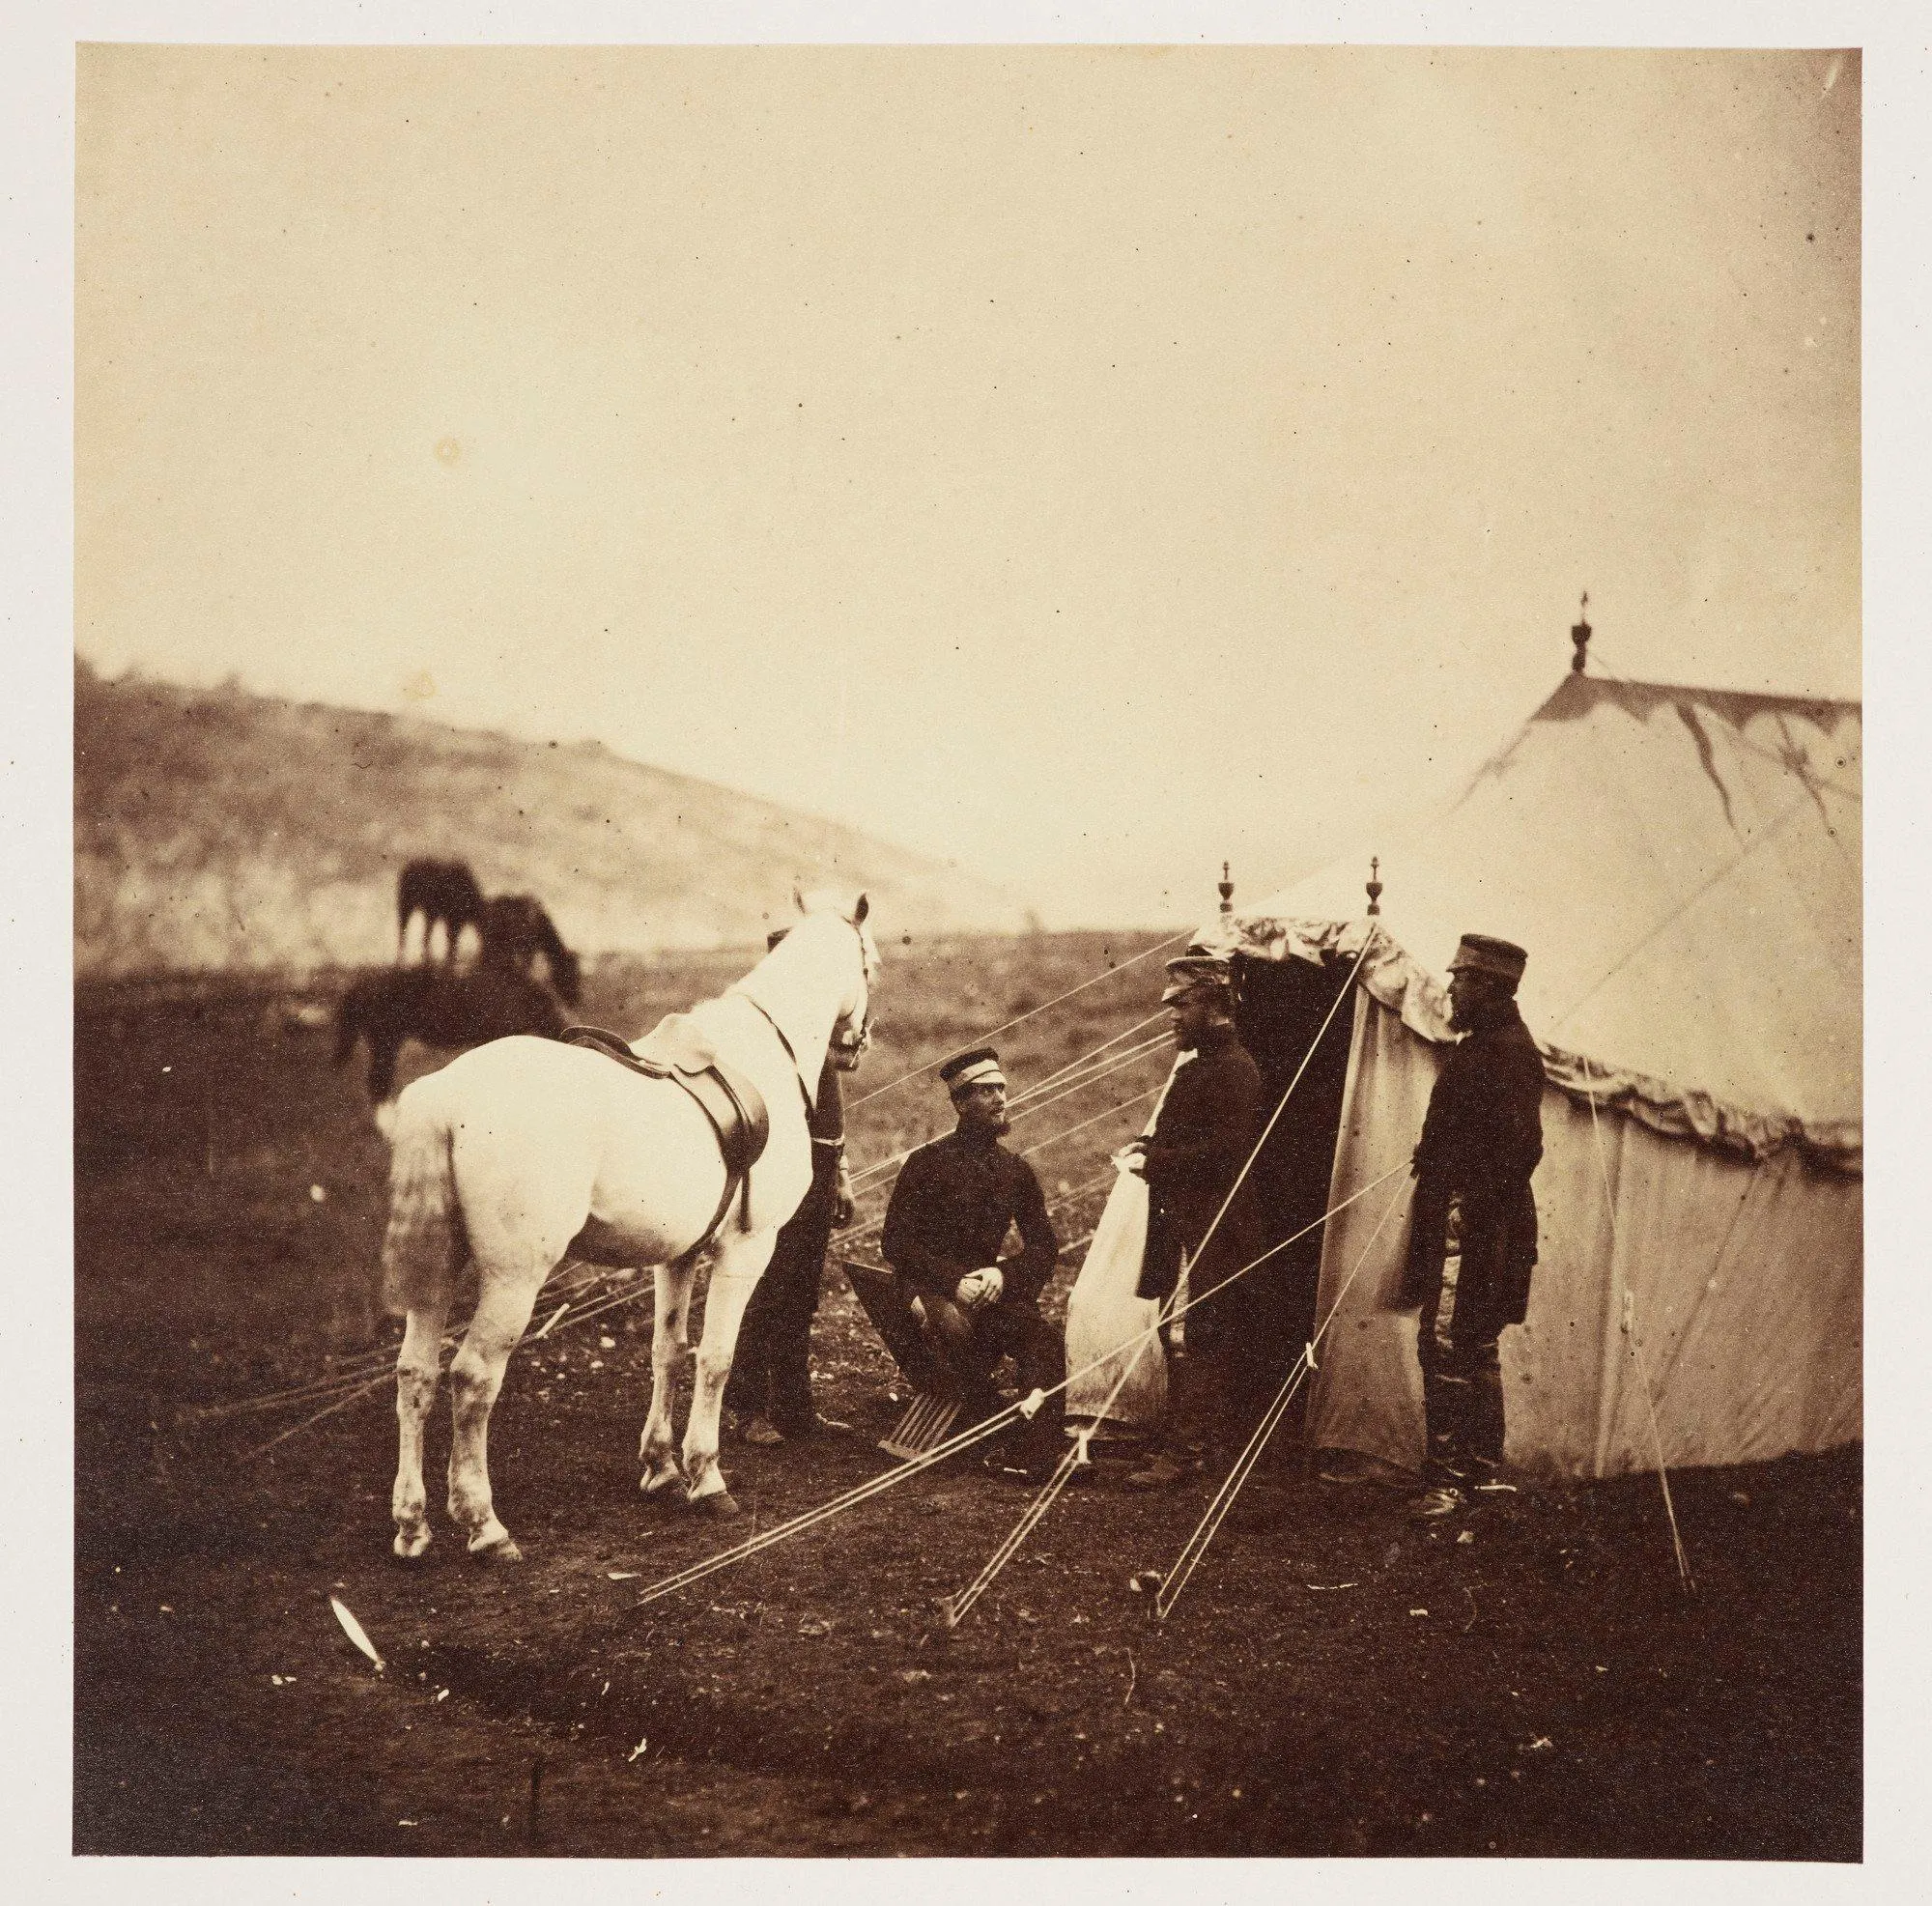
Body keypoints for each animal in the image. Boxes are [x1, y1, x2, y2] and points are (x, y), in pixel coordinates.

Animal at [377, 893, 877, 1561]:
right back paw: (484, 1524)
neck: (764, 1051)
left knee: (415, 1377)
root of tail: (448, 1095)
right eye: (871, 963)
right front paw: (706, 1477)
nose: (856, 1045)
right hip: (514, 1280)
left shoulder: (679, 1256)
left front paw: (661, 1466)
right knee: (472, 1379)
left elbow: (668, 1351)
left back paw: (412, 1525)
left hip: (438, 1272)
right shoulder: (747, 1249)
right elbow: (715, 1358)